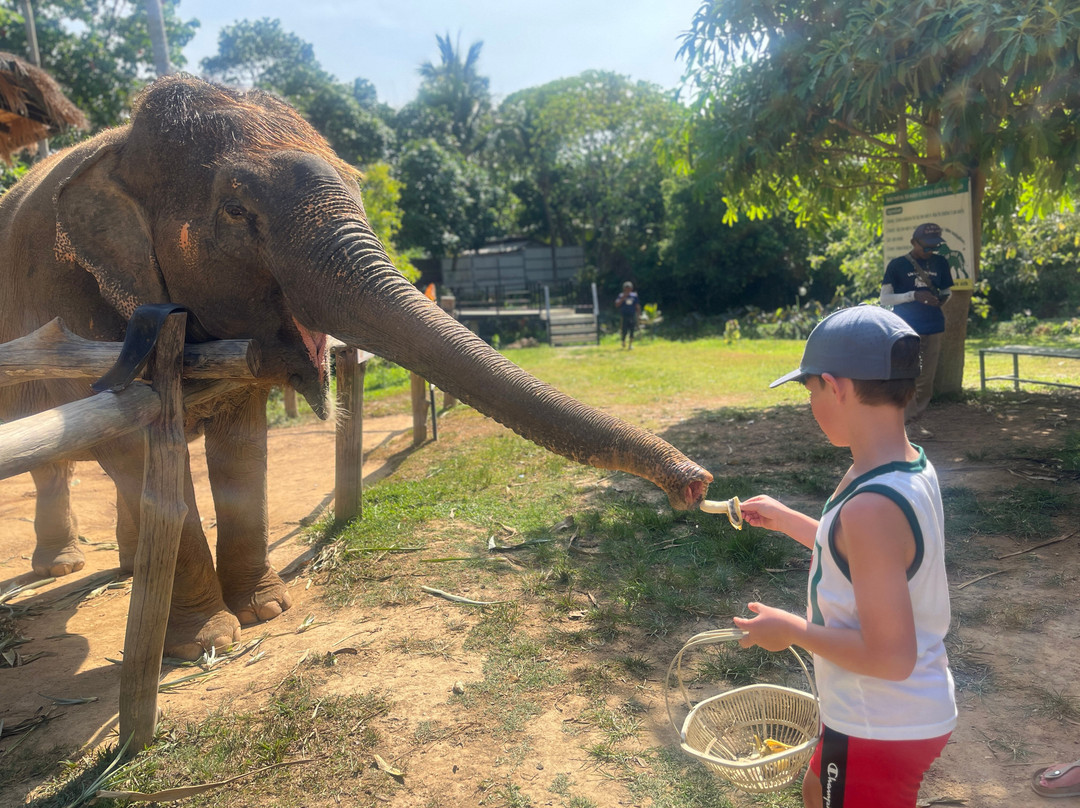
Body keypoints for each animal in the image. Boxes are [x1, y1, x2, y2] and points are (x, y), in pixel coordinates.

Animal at [0, 74, 713, 660]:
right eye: (236, 211)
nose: (695, 485)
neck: (121, 147)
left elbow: (242, 447)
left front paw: (267, 609)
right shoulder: (78, 309)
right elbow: (141, 455)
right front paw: (209, 640)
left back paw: (125, 570)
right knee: (57, 462)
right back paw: (64, 567)